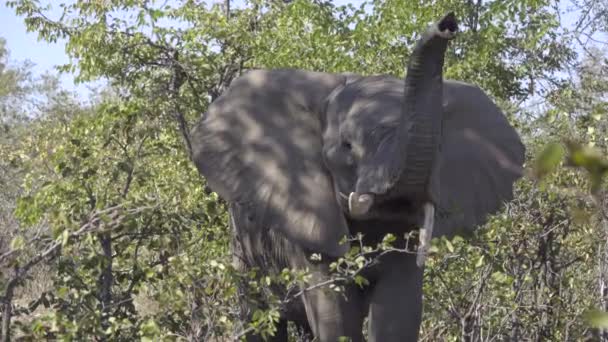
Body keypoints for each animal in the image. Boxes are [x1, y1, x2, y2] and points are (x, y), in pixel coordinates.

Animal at [192, 12, 524, 342]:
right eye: (347, 146)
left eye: (440, 145)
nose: (447, 24)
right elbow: (335, 314)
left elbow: (397, 312)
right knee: (258, 316)